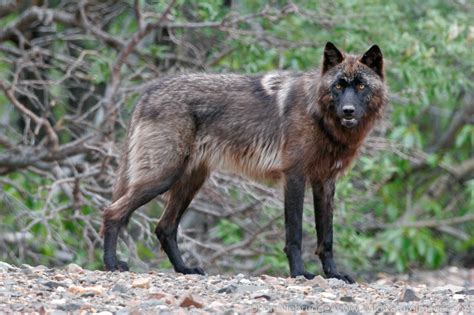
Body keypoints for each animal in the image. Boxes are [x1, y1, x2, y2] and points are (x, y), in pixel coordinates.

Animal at [102, 42, 386, 284]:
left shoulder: (325, 182)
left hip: (189, 183)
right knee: (113, 212)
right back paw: (111, 264)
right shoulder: (294, 177)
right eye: (338, 86)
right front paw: (299, 272)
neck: (319, 115)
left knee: (164, 227)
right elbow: (294, 233)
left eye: (361, 87)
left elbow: (326, 238)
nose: (348, 111)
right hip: (163, 177)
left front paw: (334, 274)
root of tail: (147, 92)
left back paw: (184, 269)